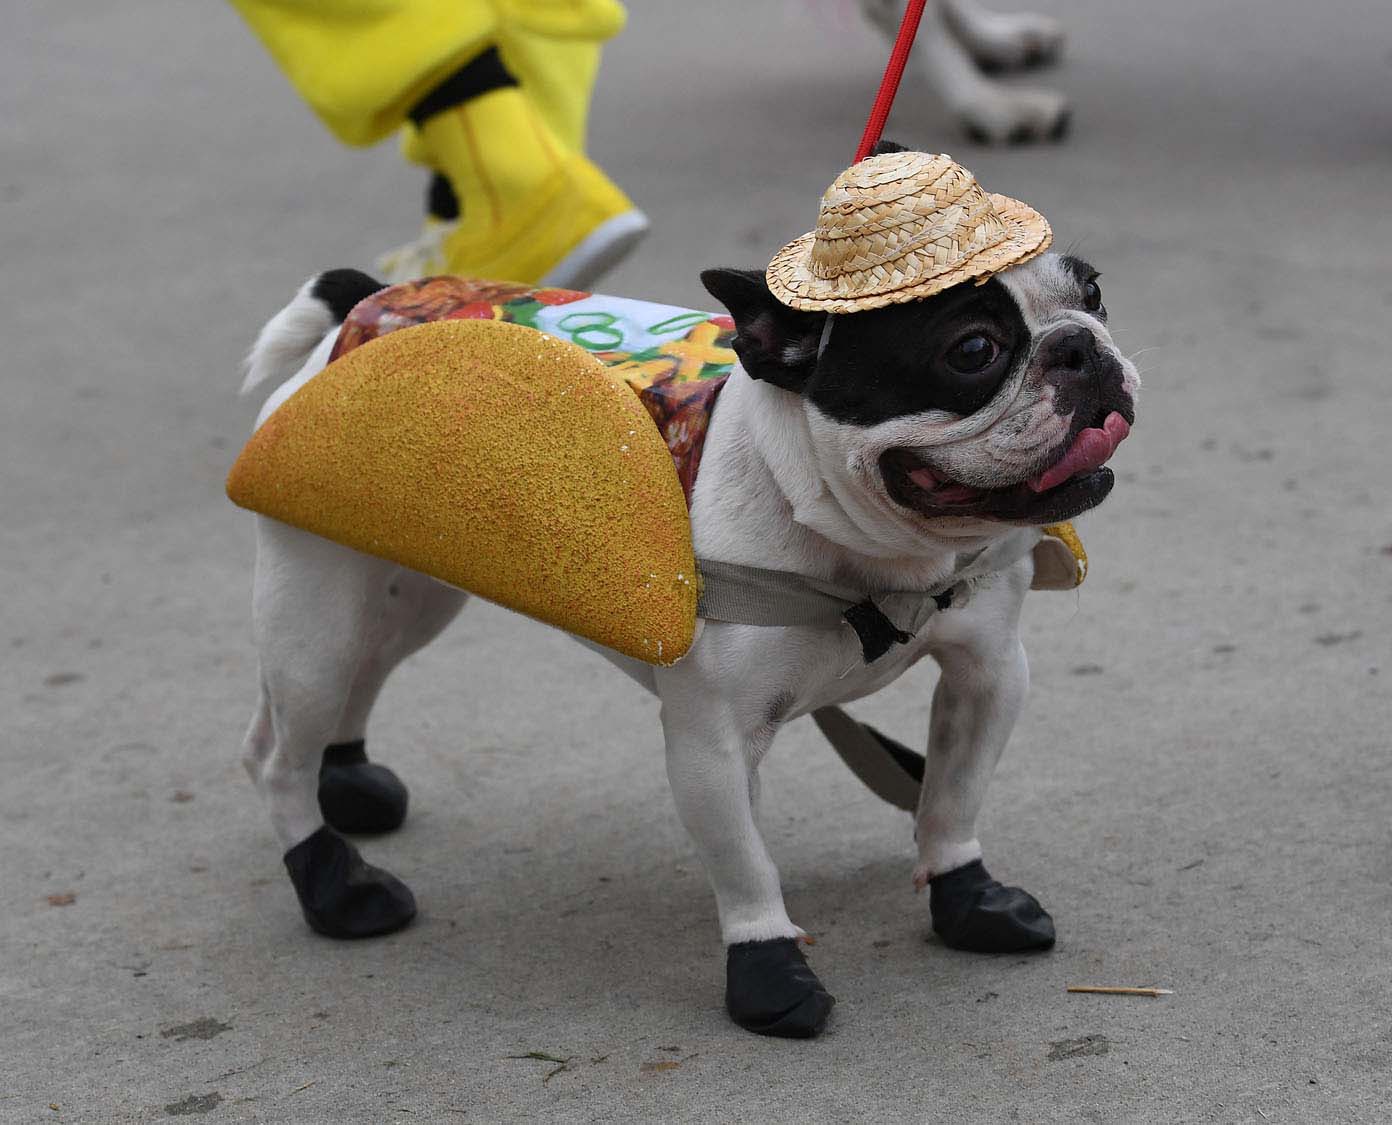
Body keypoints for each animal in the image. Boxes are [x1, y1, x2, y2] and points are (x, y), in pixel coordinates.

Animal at [236, 236, 1130, 1035]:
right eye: (972, 350)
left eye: (1091, 294)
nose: (1080, 347)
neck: (875, 558)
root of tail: (366, 304)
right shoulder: (715, 741)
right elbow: (746, 862)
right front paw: (770, 974)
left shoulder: (989, 671)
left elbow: (952, 793)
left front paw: (970, 898)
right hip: (317, 611)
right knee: (278, 753)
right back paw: (335, 885)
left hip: (407, 586)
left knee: (358, 677)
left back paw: (348, 783)